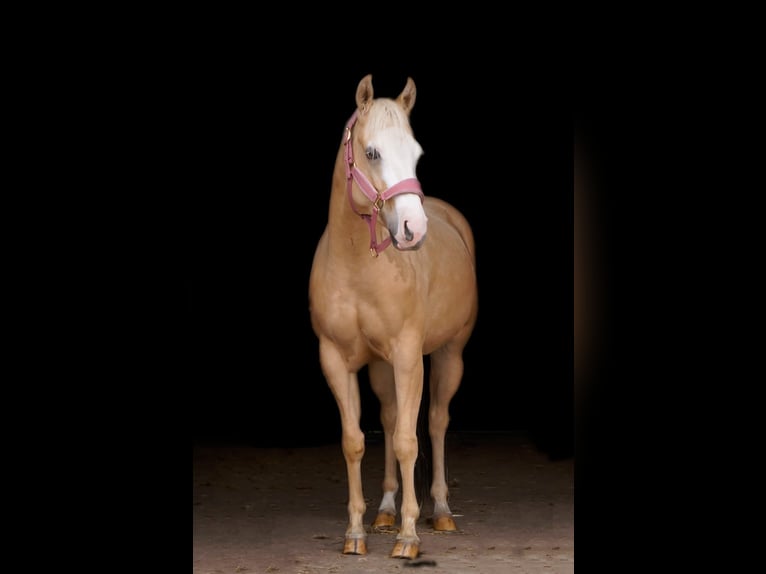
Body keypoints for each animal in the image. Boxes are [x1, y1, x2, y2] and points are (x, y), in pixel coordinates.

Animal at [308, 74, 478, 559]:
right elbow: (355, 442)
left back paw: (440, 510)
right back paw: (384, 510)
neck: (355, 265)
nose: (412, 230)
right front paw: (356, 532)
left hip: (449, 354)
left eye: (416, 153)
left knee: (436, 422)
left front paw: (409, 536)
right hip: (382, 367)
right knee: (387, 418)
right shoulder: (336, 360)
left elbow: (408, 440)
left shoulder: (408, 357)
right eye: (372, 153)